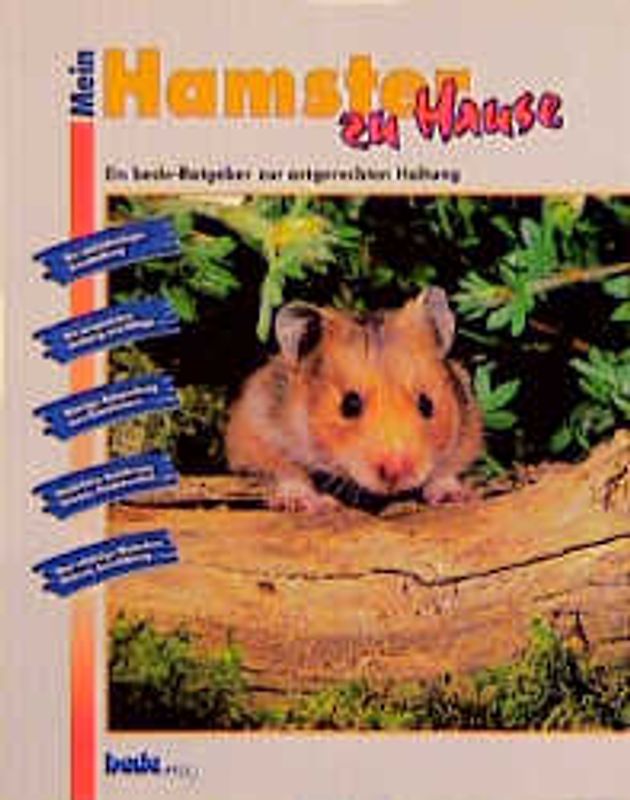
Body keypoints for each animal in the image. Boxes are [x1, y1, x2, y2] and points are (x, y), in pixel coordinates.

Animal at [226, 288, 483, 512]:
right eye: (349, 405)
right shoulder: (256, 431)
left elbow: (447, 469)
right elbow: (285, 470)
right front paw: (305, 503)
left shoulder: (467, 431)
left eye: (427, 405)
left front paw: (454, 495)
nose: (396, 473)